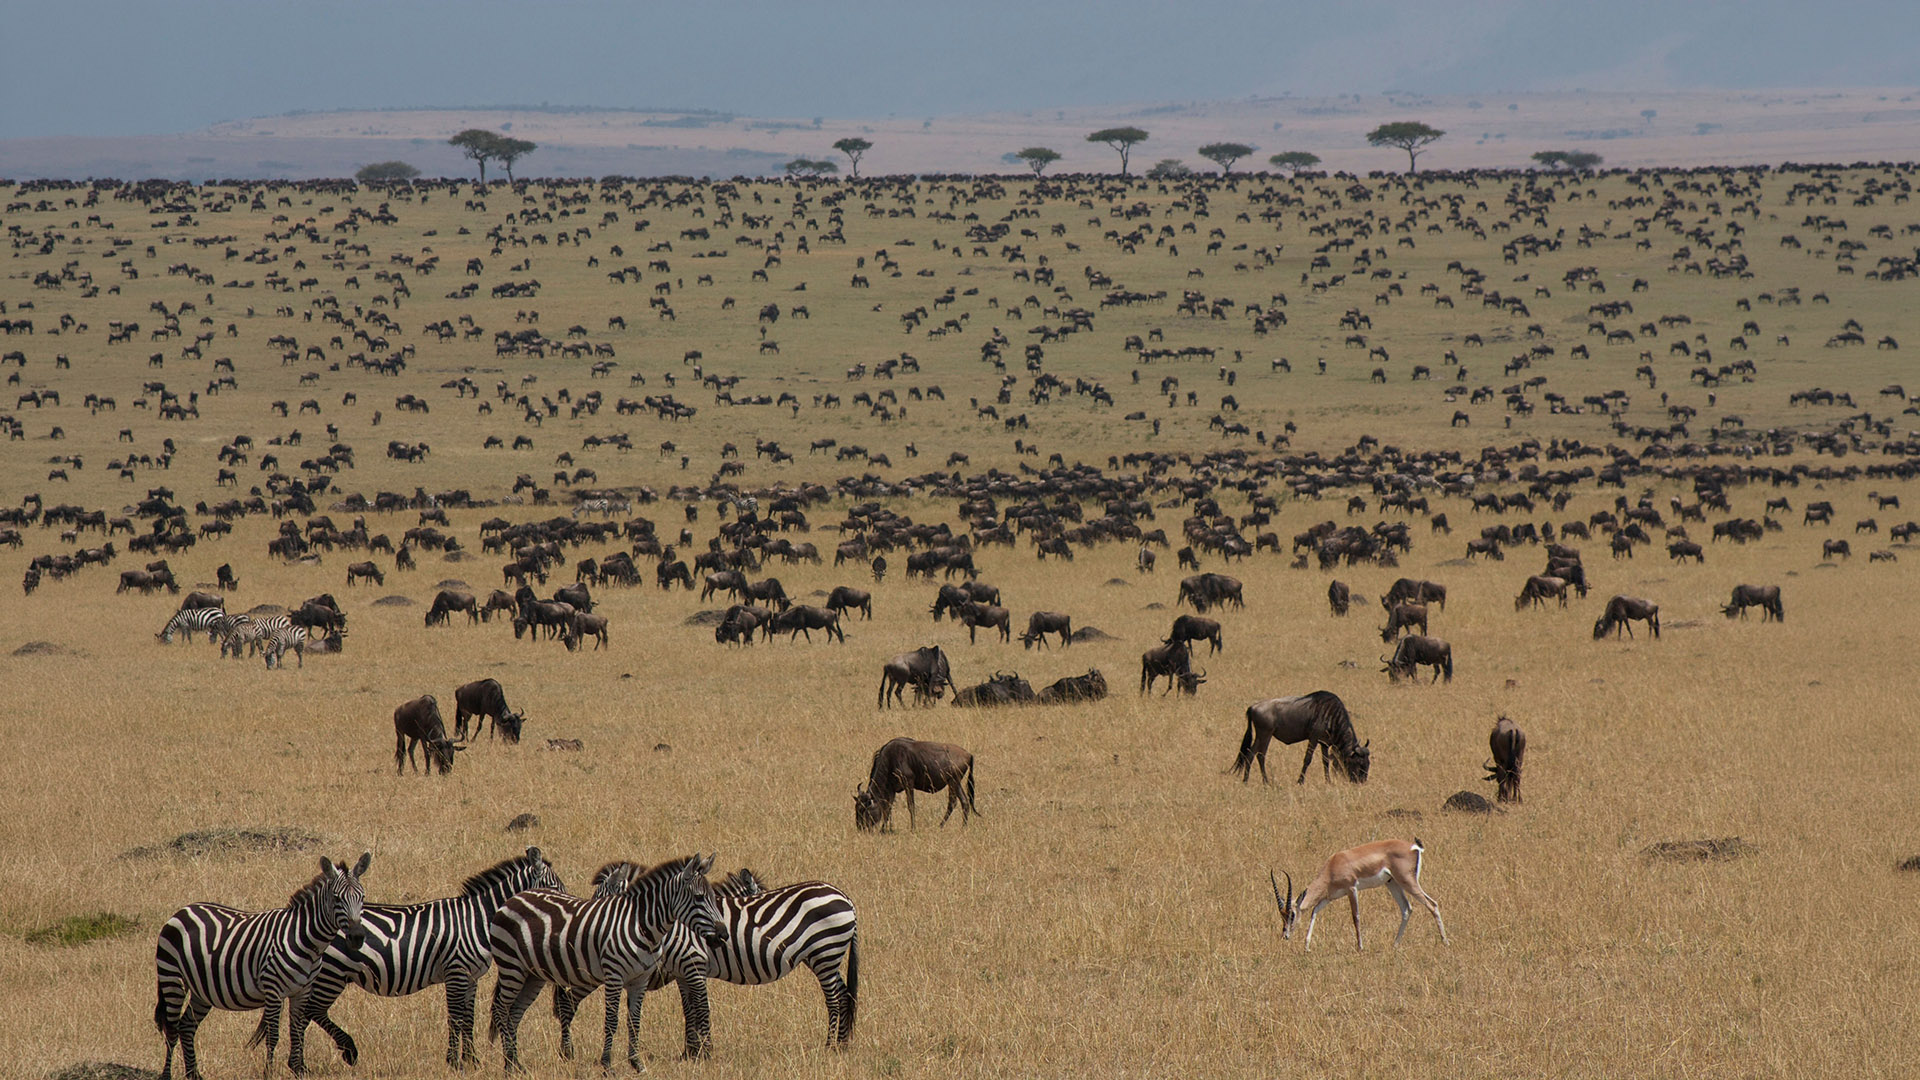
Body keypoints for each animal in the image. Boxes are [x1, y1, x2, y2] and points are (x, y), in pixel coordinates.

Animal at [1271, 838, 1448, 951]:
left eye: (1292, 914)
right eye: (1282, 915)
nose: (1285, 935)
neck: (1333, 866)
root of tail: (1414, 847)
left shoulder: (1351, 888)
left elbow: (1355, 916)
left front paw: (1360, 947)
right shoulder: (1329, 897)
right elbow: (1314, 911)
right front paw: (1306, 946)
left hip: (1407, 881)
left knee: (1432, 904)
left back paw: (1445, 942)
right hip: (1392, 883)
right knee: (1407, 908)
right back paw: (1395, 945)